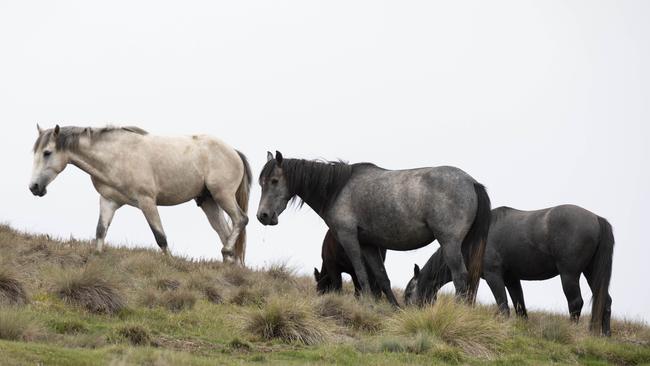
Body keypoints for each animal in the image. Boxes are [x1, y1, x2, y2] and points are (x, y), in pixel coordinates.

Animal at [29, 124, 251, 264]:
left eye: (47, 153)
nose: (34, 187)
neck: (116, 156)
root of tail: (233, 151)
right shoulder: (108, 201)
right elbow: (100, 232)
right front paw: (97, 258)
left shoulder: (147, 202)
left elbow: (160, 236)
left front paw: (170, 262)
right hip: (208, 201)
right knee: (224, 232)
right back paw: (230, 264)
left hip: (222, 195)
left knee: (241, 219)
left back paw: (228, 253)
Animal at [256, 150, 488, 304]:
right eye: (261, 183)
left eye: (274, 181)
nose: (263, 216)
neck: (337, 189)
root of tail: (472, 182)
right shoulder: (369, 244)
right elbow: (381, 277)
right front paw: (394, 309)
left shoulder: (348, 237)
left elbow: (361, 274)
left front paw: (367, 304)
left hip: (449, 242)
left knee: (460, 276)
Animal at [404, 204, 612, 336]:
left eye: (408, 294)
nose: (406, 315)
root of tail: (596, 218)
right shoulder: (512, 279)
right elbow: (519, 306)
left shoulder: (493, 276)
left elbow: (503, 304)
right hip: (591, 273)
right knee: (605, 300)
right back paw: (604, 335)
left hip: (569, 275)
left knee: (576, 302)